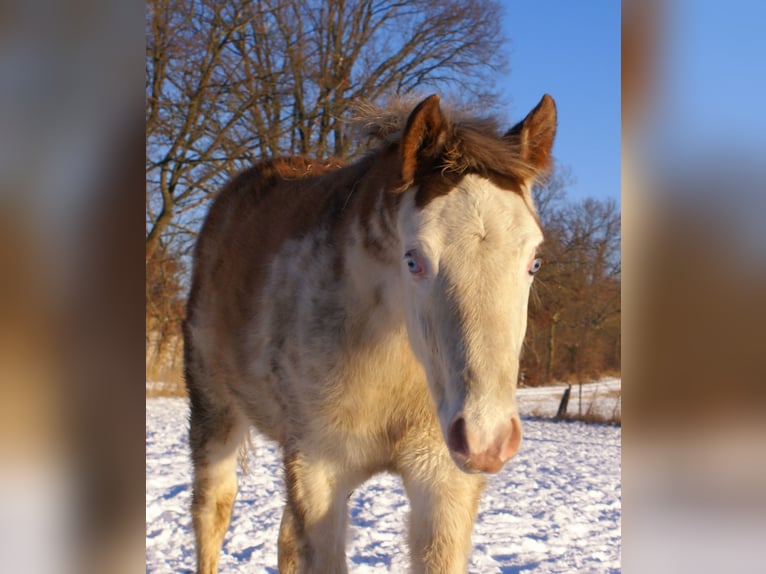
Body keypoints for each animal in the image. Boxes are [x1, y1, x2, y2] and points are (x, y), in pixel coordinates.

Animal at [184, 93, 556, 573]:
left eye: (534, 261)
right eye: (413, 259)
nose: (486, 440)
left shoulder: (443, 481)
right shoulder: (318, 470)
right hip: (214, 408)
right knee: (212, 512)